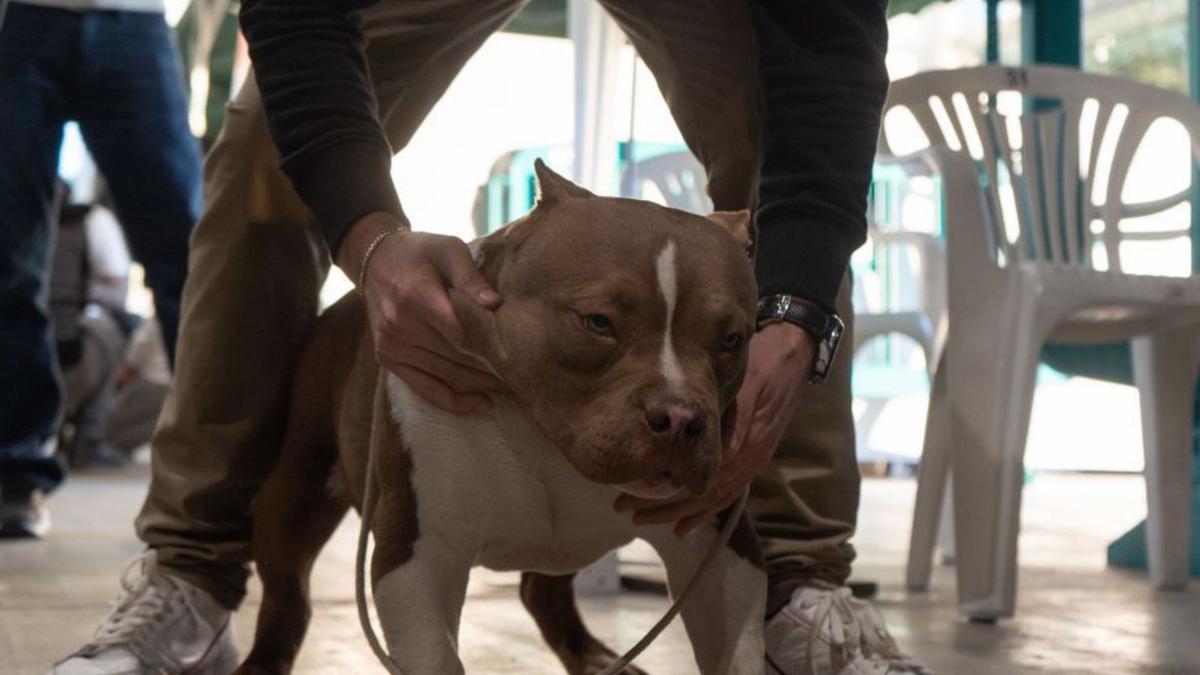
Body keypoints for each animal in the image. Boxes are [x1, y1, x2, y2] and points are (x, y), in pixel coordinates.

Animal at [237, 162, 763, 672]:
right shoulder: (418, 552)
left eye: (732, 340)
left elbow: (737, 651)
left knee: (543, 591)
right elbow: (435, 657)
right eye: (597, 322)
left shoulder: (718, 554)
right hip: (295, 489)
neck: (541, 434)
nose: (679, 418)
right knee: (287, 594)